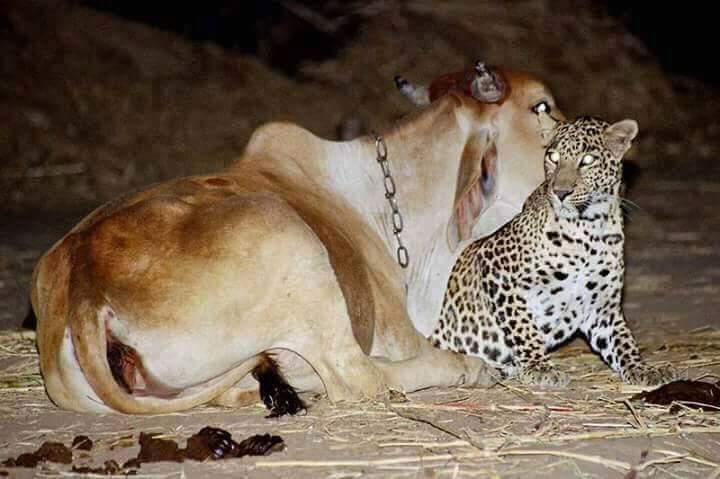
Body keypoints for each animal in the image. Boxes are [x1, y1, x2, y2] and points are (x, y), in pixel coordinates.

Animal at [430, 115, 678, 387]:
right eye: (554, 157)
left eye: (587, 160)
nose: (560, 192)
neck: (589, 229)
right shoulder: (494, 267)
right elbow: (522, 325)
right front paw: (539, 367)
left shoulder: (602, 307)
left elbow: (622, 339)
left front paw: (641, 368)